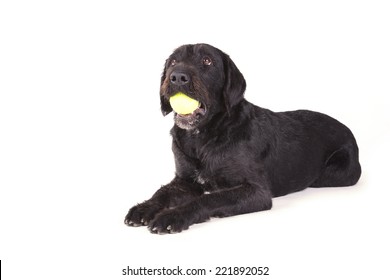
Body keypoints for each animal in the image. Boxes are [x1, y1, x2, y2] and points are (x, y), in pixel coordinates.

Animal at [123, 42, 362, 233]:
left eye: (207, 61)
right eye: (173, 61)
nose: (177, 77)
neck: (204, 137)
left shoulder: (256, 191)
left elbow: (209, 197)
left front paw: (173, 216)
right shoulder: (184, 180)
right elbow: (162, 192)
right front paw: (143, 208)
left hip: (333, 174)